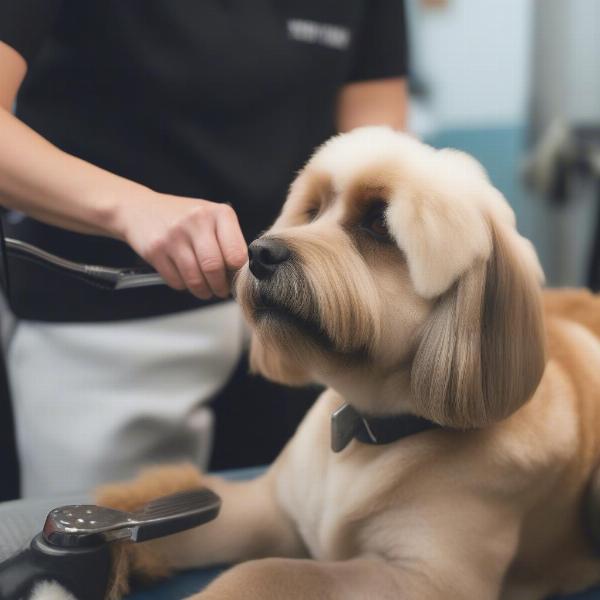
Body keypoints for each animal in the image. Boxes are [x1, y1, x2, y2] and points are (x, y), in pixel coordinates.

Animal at [96, 127, 600, 600]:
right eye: (312, 210)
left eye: (378, 223)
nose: (259, 252)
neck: (368, 432)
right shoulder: (271, 509)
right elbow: (179, 521)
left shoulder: (426, 580)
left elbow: (268, 572)